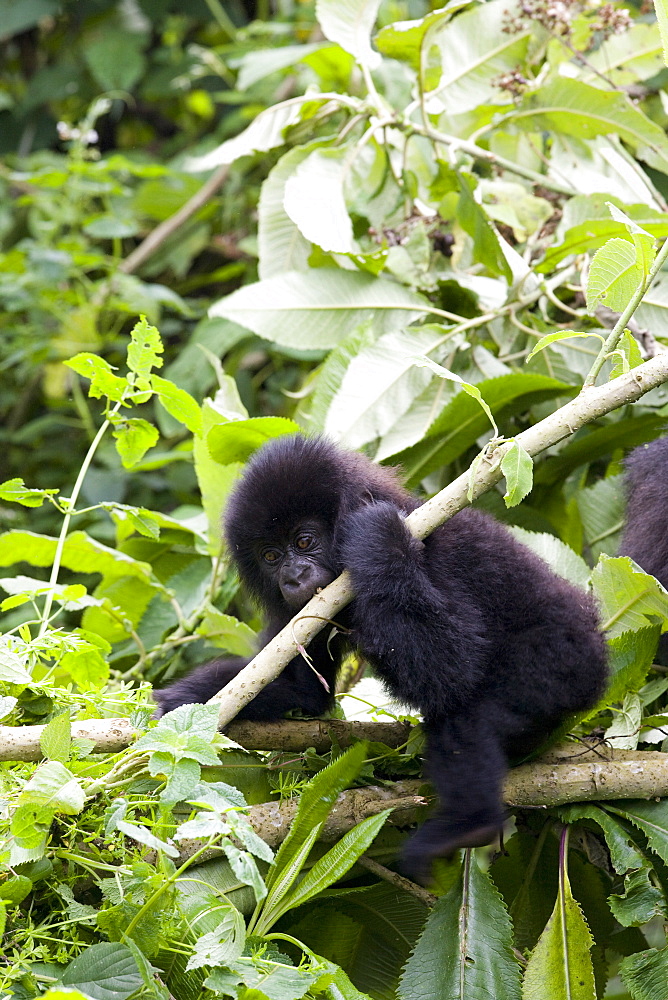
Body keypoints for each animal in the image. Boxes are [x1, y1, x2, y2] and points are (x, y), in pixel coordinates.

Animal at [154, 434, 608, 880]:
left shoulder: (438, 553)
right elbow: (303, 691)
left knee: (466, 709)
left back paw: (469, 824)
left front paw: (379, 534)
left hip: (559, 663)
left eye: (304, 541)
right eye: (270, 556)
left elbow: (455, 667)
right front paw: (177, 705)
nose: (292, 577)